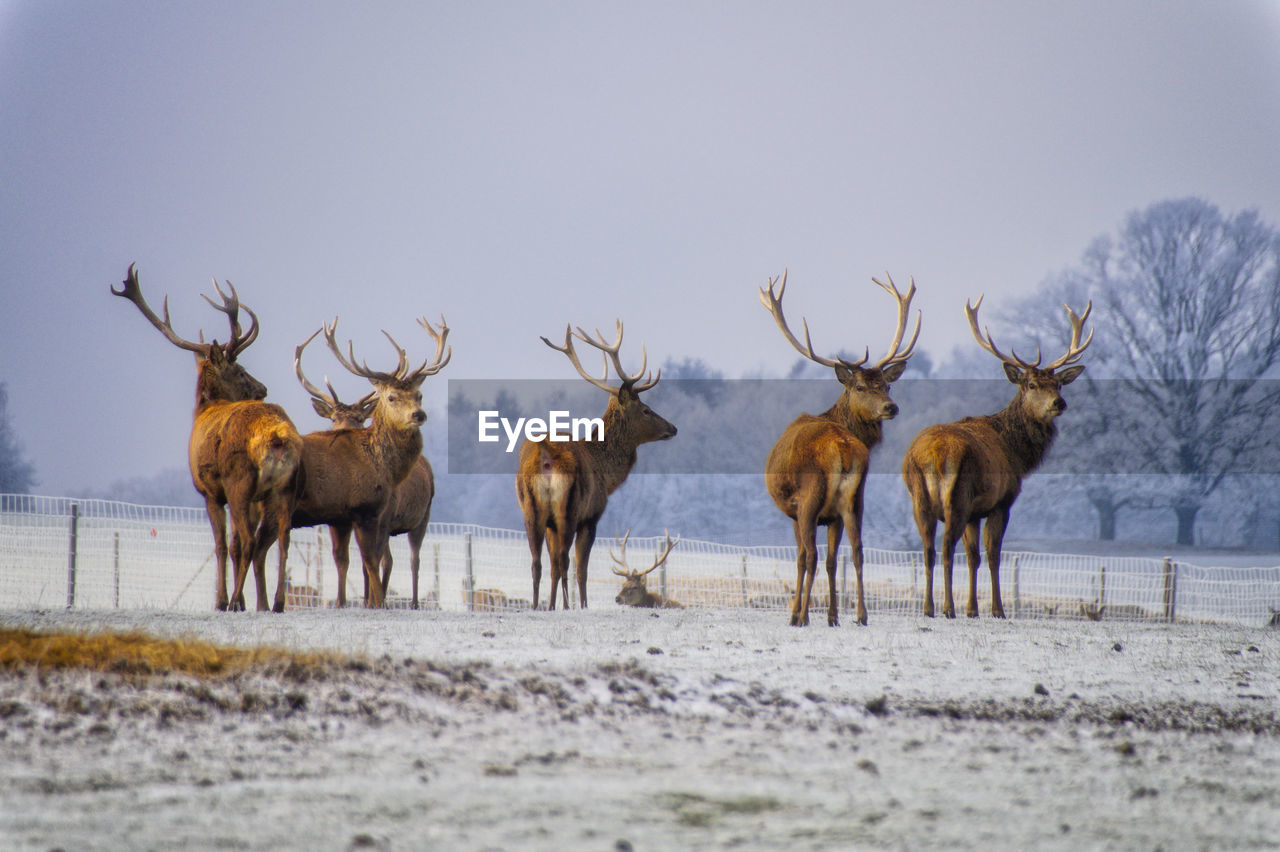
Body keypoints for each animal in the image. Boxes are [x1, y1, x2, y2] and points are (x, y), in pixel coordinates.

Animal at [109, 263, 299, 611]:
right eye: (241, 371)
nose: (262, 389)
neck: (204, 410)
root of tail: (277, 435)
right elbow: (233, 545)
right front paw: (242, 600)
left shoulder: (209, 491)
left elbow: (223, 545)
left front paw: (223, 601)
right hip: (282, 489)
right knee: (282, 539)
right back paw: (277, 603)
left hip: (240, 482)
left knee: (250, 541)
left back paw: (235, 601)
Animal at [290, 317, 450, 603]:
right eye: (391, 396)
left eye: (419, 395)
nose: (418, 414)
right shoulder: (362, 512)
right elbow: (360, 561)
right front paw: (367, 603)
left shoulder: (357, 515)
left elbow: (359, 561)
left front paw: (360, 602)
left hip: (423, 515)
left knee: (413, 559)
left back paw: (413, 603)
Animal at [517, 317, 680, 603]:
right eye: (646, 410)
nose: (673, 428)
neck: (607, 474)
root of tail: (544, 455)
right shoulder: (591, 515)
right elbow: (581, 569)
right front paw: (581, 605)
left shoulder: (549, 523)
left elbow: (551, 566)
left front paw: (550, 605)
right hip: (569, 507)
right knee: (564, 561)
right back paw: (568, 606)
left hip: (530, 508)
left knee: (538, 563)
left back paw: (538, 606)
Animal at [757, 272, 921, 624]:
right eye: (860, 386)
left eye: (887, 386)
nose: (891, 407)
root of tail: (842, 448)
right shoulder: (833, 516)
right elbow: (836, 561)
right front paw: (833, 615)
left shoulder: (795, 511)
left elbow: (803, 557)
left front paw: (801, 612)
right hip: (855, 499)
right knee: (857, 551)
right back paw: (860, 615)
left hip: (810, 496)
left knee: (811, 555)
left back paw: (801, 616)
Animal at [901, 295, 1090, 614]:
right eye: (1032, 384)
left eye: (1058, 384)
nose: (1059, 403)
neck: (1018, 455)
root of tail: (931, 455)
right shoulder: (1001, 502)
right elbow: (992, 555)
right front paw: (997, 609)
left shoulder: (975, 513)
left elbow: (973, 556)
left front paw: (973, 609)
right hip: (956, 498)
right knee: (946, 549)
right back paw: (948, 608)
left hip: (920, 500)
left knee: (928, 550)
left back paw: (928, 608)